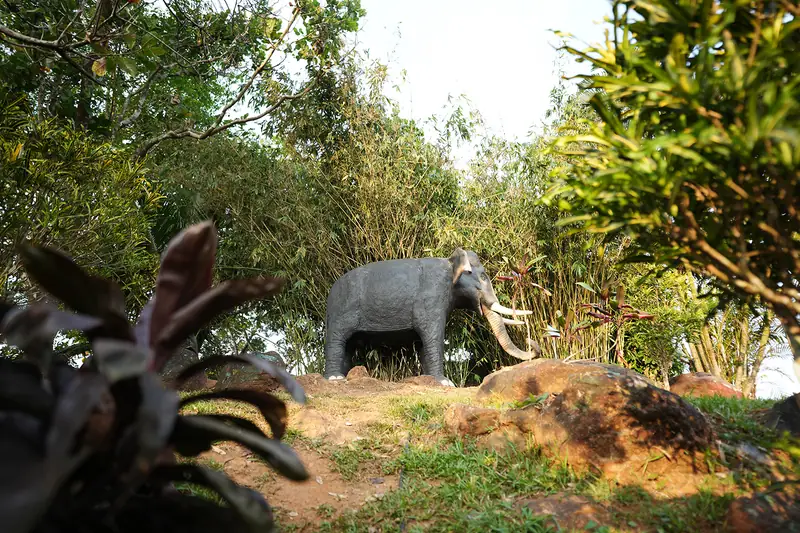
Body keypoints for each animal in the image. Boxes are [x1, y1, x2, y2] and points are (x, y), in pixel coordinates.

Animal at [322, 247, 541, 386]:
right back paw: (334, 379)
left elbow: (423, 342)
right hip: (341, 310)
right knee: (337, 339)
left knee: (348, 345)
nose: (530, 340)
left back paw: (342, 375)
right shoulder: (432, 297)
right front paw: (445, 383)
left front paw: (429, 379)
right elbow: (432, 335)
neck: (449, 263)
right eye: (483, 276)